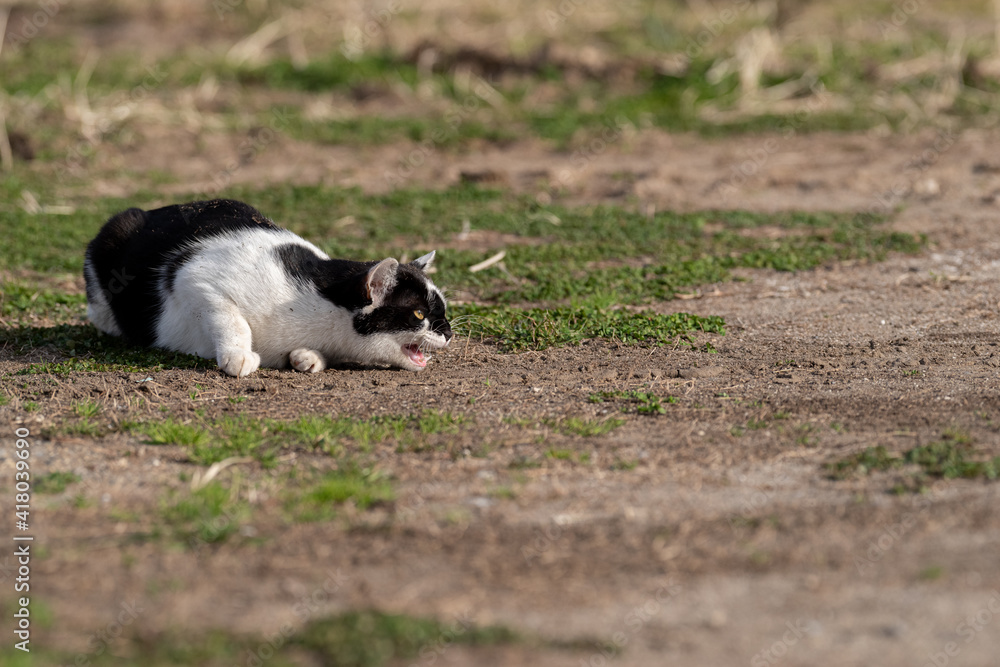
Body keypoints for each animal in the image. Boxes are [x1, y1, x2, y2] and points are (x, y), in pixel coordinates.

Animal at [84, 197, 452, 376]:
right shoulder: (193, 278)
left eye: (443, 312)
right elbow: (232, 319)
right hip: (114, 238)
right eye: (419, 314)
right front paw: (238, 356)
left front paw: (308, 358)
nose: (449, 332)